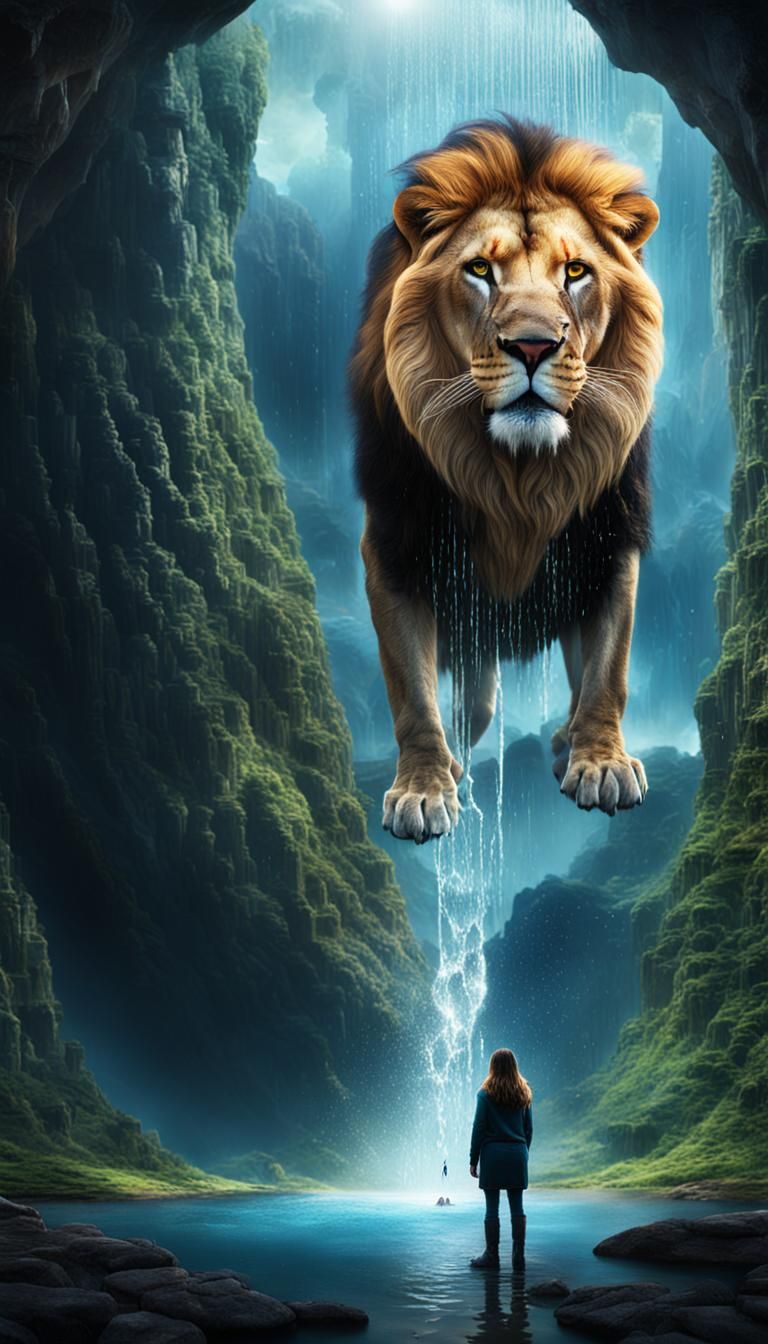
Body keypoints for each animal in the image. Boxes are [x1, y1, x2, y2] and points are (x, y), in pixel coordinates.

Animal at [349, 117, 663, 843]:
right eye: (480, 270)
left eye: (575, 271)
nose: (532, 345)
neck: (517, 475)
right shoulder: (396, 544)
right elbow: (410, 688)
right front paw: (424, 786)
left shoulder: (610, 536)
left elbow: (608, 666)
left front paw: (601, 760)